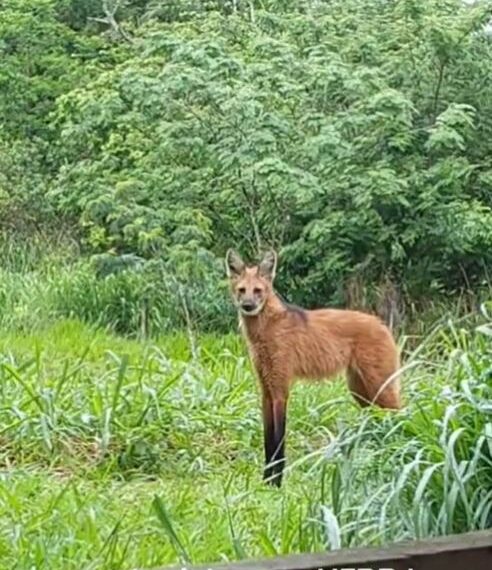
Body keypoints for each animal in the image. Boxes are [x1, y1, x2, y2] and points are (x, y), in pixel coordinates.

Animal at [226, 246, 400, 486]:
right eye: (242, 290)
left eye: (258, 291)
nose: (248, 306)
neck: (264, 331)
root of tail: (382, 324)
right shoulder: (266, 391)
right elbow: (268, 442)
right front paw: (265, 482)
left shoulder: (280, 391)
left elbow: (278, 442)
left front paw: (277, 484)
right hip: (361, 392)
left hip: (378, 387)